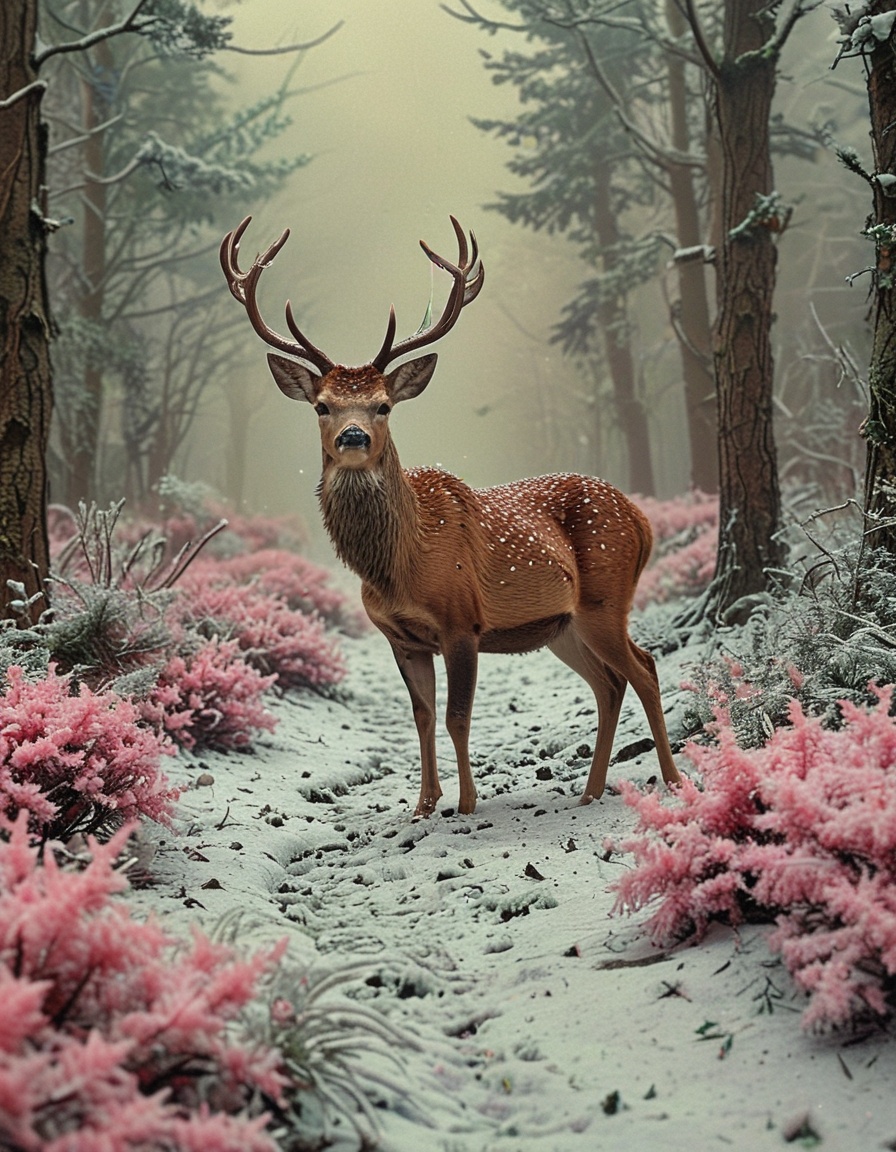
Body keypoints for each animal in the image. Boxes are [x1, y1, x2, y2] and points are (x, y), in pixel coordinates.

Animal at [220, 214, 681, 818]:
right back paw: (591, 789)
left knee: (644, 668)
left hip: (607, 596)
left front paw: (464, 804)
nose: (353, 437)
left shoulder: (463, 620)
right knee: (608, 684)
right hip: (562, 625)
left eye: (384, 405)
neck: (400, 567)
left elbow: (458, 716)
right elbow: (421, 716)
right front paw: (423, 803)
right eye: (322, 405)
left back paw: (672, 779)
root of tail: (642, 519)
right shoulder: (401, 637)